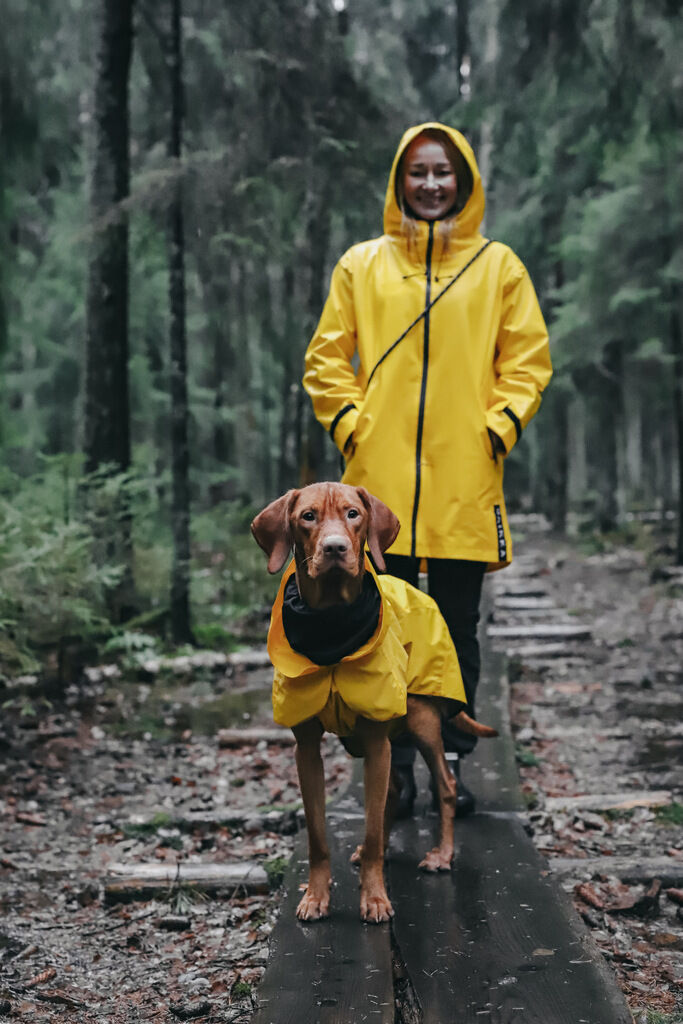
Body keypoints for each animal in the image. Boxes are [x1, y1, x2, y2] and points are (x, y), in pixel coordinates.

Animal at [250, 483, 497, 925]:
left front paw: (376, 897)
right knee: (395, 790)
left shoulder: (379, 740)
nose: (334, 548)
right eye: (308, 517)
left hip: (420, 721)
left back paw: (441, 854)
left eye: (353, 514)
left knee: (445, 785)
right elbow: (318, 835)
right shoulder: (307, 749)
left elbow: (371, 820)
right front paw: (316, 896)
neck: (333, 627)